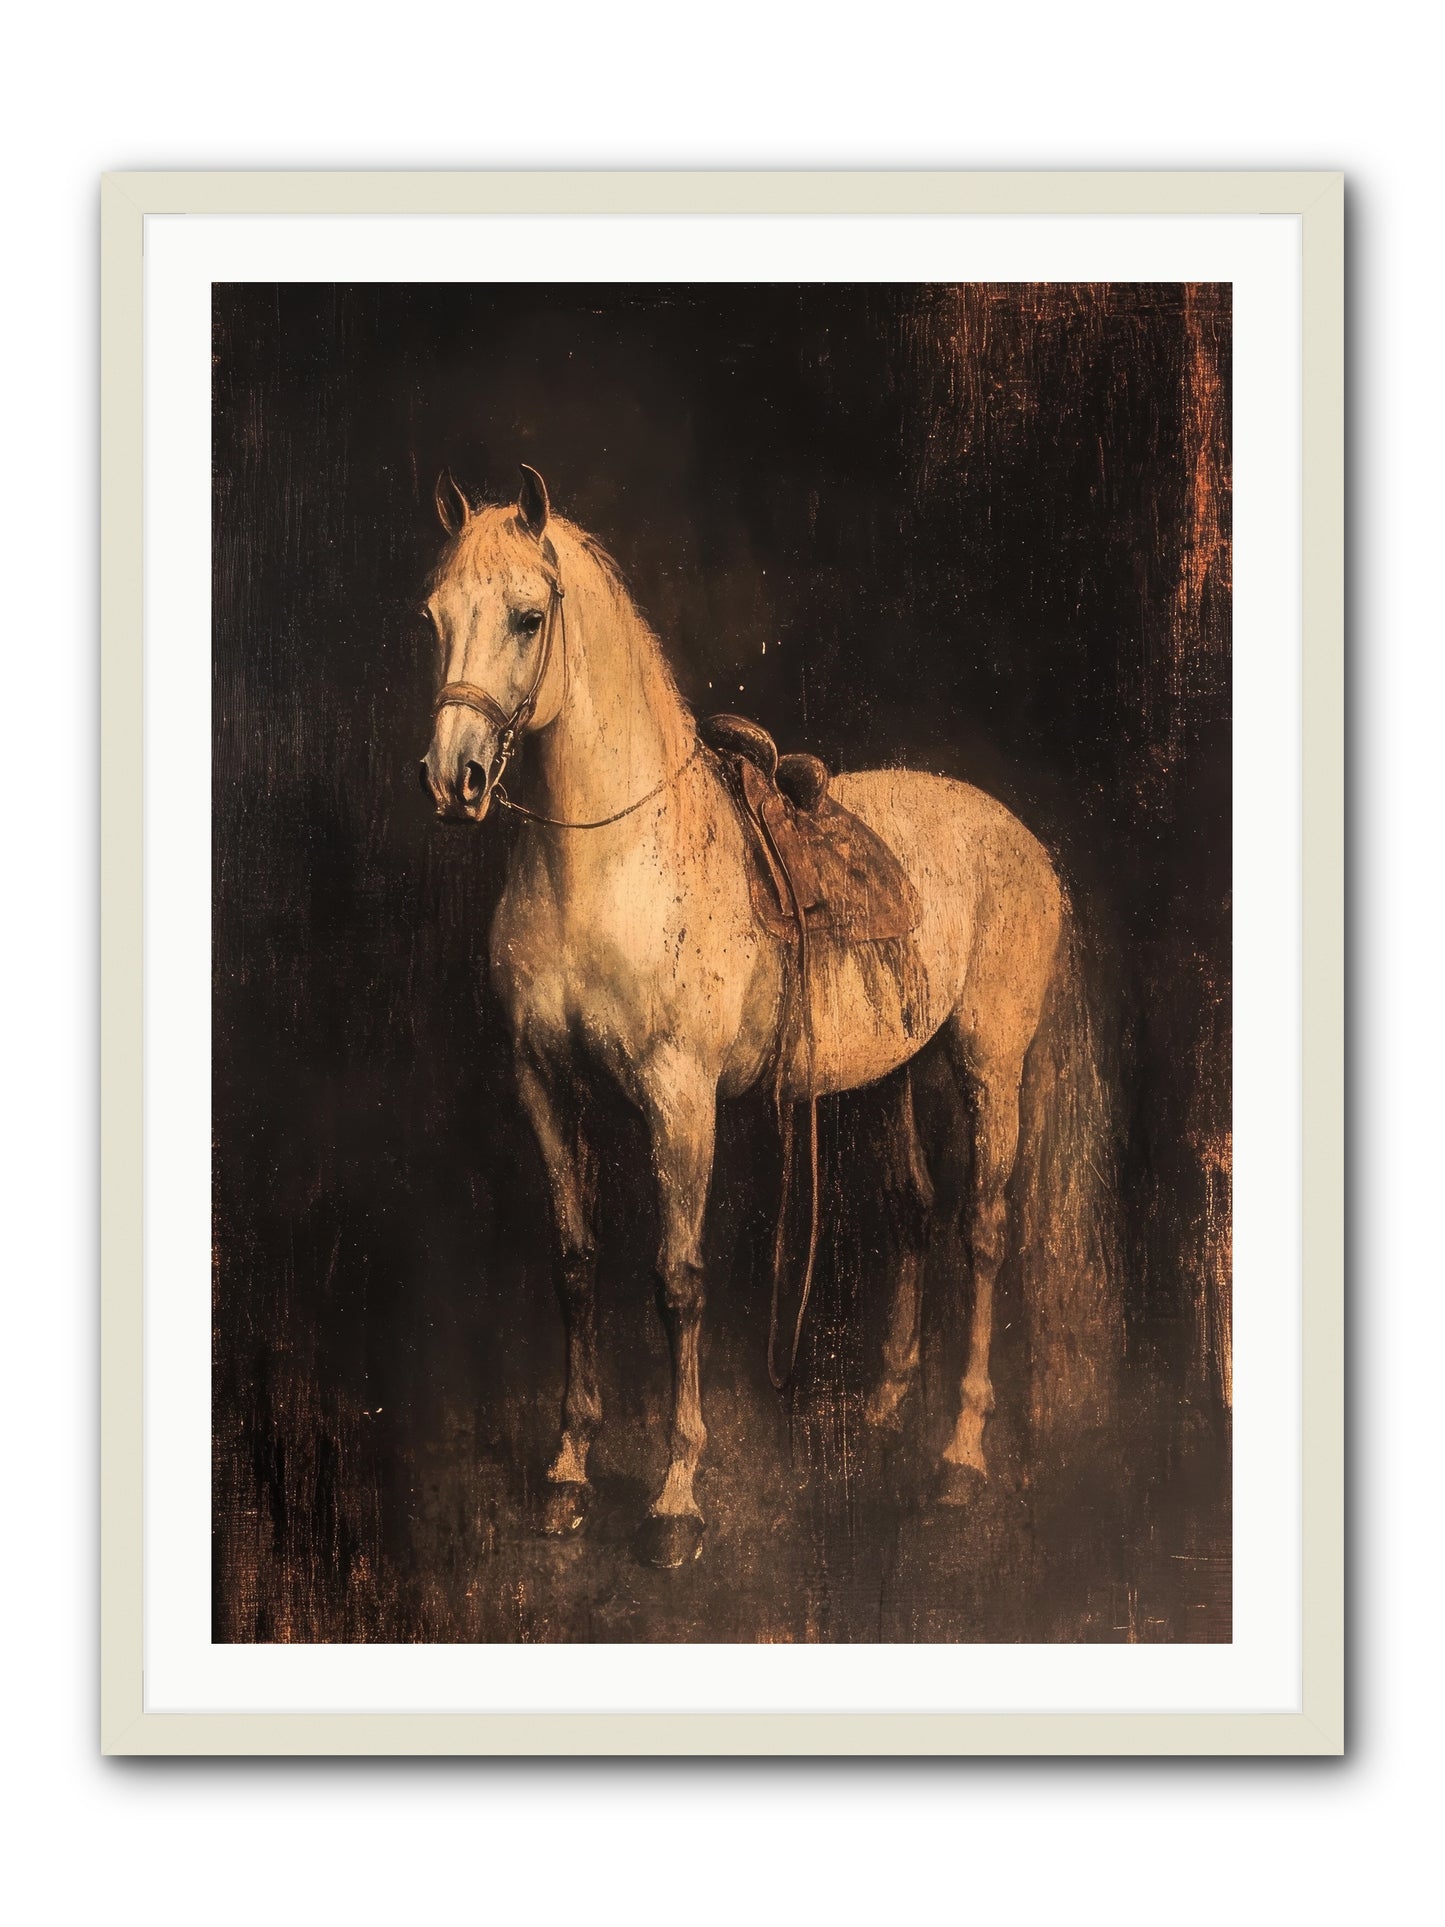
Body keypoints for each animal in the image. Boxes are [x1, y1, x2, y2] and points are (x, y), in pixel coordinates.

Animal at [419, 465, 1116, 1569]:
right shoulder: (543, 1083)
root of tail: (1021, 839)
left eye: (529, 617)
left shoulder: (679, 1100)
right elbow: (574, 1265)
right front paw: (569, 1472)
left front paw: (676, 1496)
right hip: (888, 1076)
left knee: (982, 1230)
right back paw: (883, 1406)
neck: (608, 862)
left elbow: (677, 1280)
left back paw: (959, 1452)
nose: (455, 780)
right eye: (436, 616)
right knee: (913, 1211)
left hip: (986, 1066)